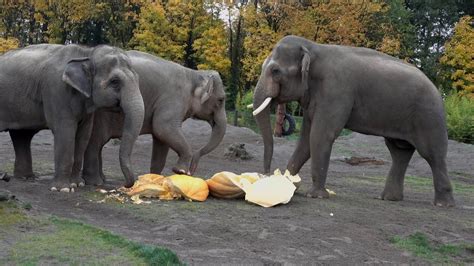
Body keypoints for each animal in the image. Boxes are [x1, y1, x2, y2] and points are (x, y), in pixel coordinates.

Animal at [0, 44, 144, 191]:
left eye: (138, 79)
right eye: (115, 81)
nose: (124, 185)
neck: (86, 53)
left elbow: (83, 135)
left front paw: (77, 184)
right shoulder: (57, 91)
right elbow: (66, 132)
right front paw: (62, 189)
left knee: (21, 136)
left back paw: (25, 178)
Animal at [82, 51, 228, 186]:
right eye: (221, 100)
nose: (191, 172)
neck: (194, 74)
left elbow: (161, 141)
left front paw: (154, 178)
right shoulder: (173, 100)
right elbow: (163, 128)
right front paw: (179, 171)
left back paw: (101, 179)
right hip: (100, 114)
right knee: (96, 141)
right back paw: (96, 182)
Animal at [252, 35, 456, 207]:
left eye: (275, 71)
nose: (266, 173)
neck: (313, 47)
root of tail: (438, 91)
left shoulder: (336, 91)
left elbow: (321, 135)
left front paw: (315, 196)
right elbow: (306, 139)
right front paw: (289, 185)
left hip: (429, 117)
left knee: (432, 155)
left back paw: (443, 204)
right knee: (399, 152)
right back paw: (389, 198)